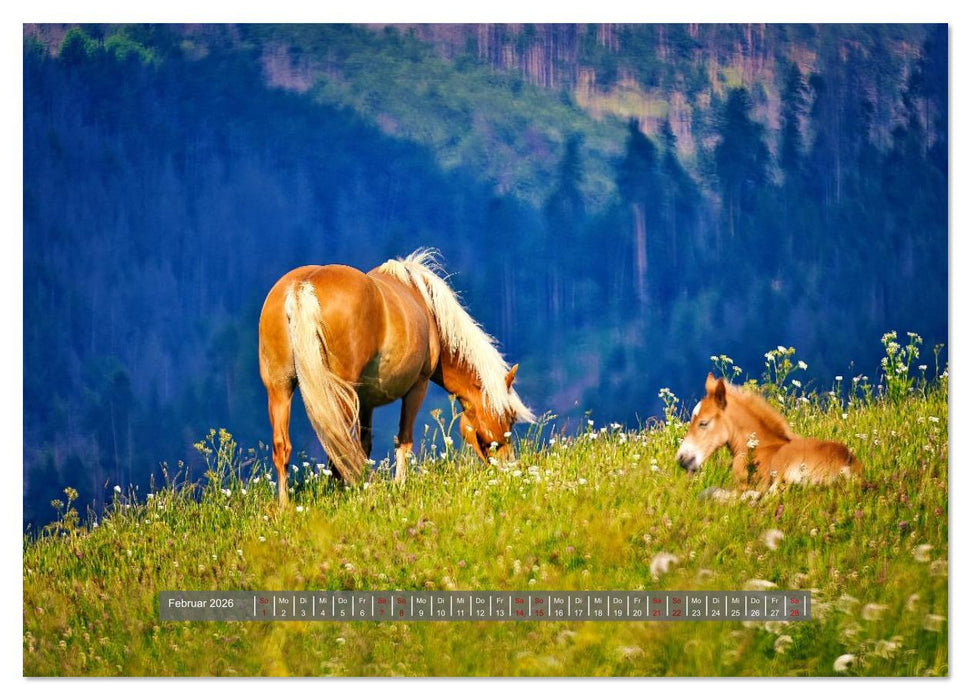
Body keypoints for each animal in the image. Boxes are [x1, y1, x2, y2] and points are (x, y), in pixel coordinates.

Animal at [258, 249, 535, 506]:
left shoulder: (365, 401)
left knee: (285, 446)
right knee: (339, 446)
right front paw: (399, 486)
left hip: (280, 389)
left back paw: (285, 505)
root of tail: (304, 285)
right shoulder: (417, 387)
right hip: (339, 394)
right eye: (510, 417)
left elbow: (365, 444)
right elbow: (404, 440)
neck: (428, 307)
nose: (508, 467)